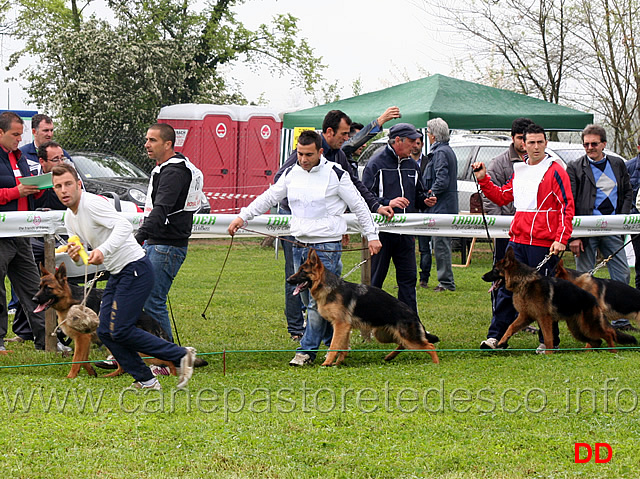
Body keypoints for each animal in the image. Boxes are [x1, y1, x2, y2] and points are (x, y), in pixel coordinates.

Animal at [33, 262, 176, 378]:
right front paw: (91, 372)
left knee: (167, 359)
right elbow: (83, 359)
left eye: (48, 288)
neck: (69, 300)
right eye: (39, 287)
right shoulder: (85, 340)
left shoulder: (82, 339)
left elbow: (76, 359)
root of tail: (151, 321)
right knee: (123, 366)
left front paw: (70, 377)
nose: (34, 299)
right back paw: (109, 376)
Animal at [286, 249, 440, 366]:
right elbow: (342, 348)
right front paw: (338, 363)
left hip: (406, 337)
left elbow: (334, 346)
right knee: (405, 344)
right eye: (299, 270)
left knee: (429, 346)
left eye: (303, 271)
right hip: (385, 335)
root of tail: (413, 313)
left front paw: (327, 364)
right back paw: (390, 356)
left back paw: (435, 363)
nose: (288, 280)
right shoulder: (344, 328)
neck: (330, 288)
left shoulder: (341, 325)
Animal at [482, 248, 636, 352]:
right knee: (597, 341)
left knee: (608, 334)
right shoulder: (526, 316)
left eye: (495, 270)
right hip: (578, 329)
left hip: (588, 325)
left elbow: (548, 337)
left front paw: (548, 353)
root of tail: (593, 300)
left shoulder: (544, 318)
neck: (523, 282)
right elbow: (510, 327)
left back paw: (612, 351)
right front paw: (501, 341)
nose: (483, 277)